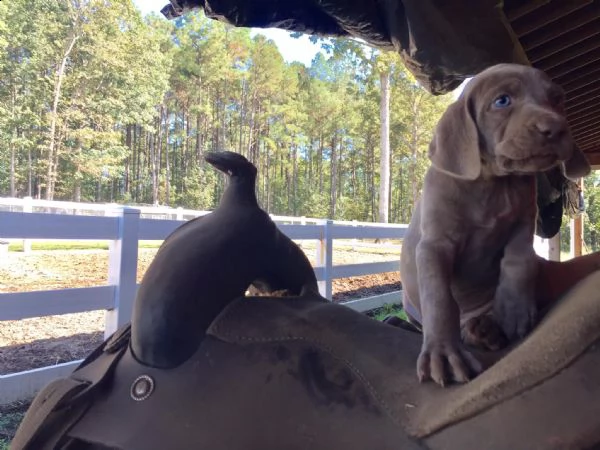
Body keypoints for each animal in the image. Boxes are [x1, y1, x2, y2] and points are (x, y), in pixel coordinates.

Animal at [400, 63, 592, 386]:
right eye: (502, 101)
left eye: (557, 100)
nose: (555, 128)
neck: (493, 184)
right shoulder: (434, 245)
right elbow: (439, 298)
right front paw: (443, 352)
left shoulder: (524, 223)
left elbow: (519, 262)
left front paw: (513, 311)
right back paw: (479, 331)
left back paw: (487, 327)